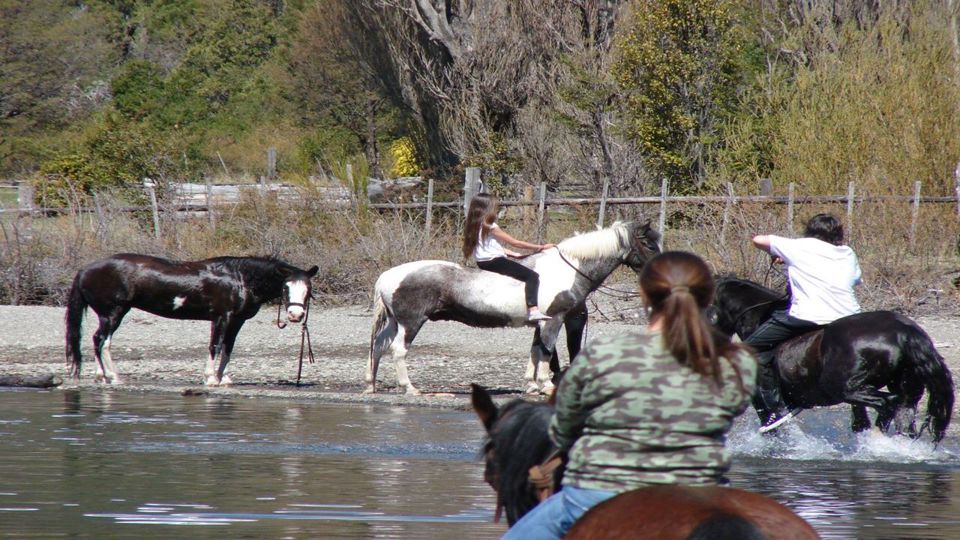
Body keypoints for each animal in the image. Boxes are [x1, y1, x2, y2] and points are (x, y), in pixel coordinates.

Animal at [65, 254, 319, 386]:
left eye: (308, 289)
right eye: (286, 288)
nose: (295, 315)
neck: (239, 278)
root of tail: (85, 269)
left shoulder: (236, 321)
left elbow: (228, 348)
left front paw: (223, 378)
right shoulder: (221, 317)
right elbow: (215, 346)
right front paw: (210, 378)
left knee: (96, 340)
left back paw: (102, 375)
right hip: (112, 313)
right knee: (102, 341)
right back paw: (113, 376)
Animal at [367, 221, 661, 395]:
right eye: (647, 243)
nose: (658, 270)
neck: (568, 269)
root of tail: (387, 276)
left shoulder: (541, 323)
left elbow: (536, 350)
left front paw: (531, 384)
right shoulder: (555, 319)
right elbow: (547, 351)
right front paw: (546, 385)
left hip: (395, 322)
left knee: (378, 347)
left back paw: (370, 384)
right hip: (411, 323)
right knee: (398, 351)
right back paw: (409, 387)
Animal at [710, 277, 954, 442]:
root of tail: (905, 331)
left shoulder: (761, 399)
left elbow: (773, 425)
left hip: (844, 388)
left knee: (887, 404)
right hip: (901, 388)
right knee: (901, 416)